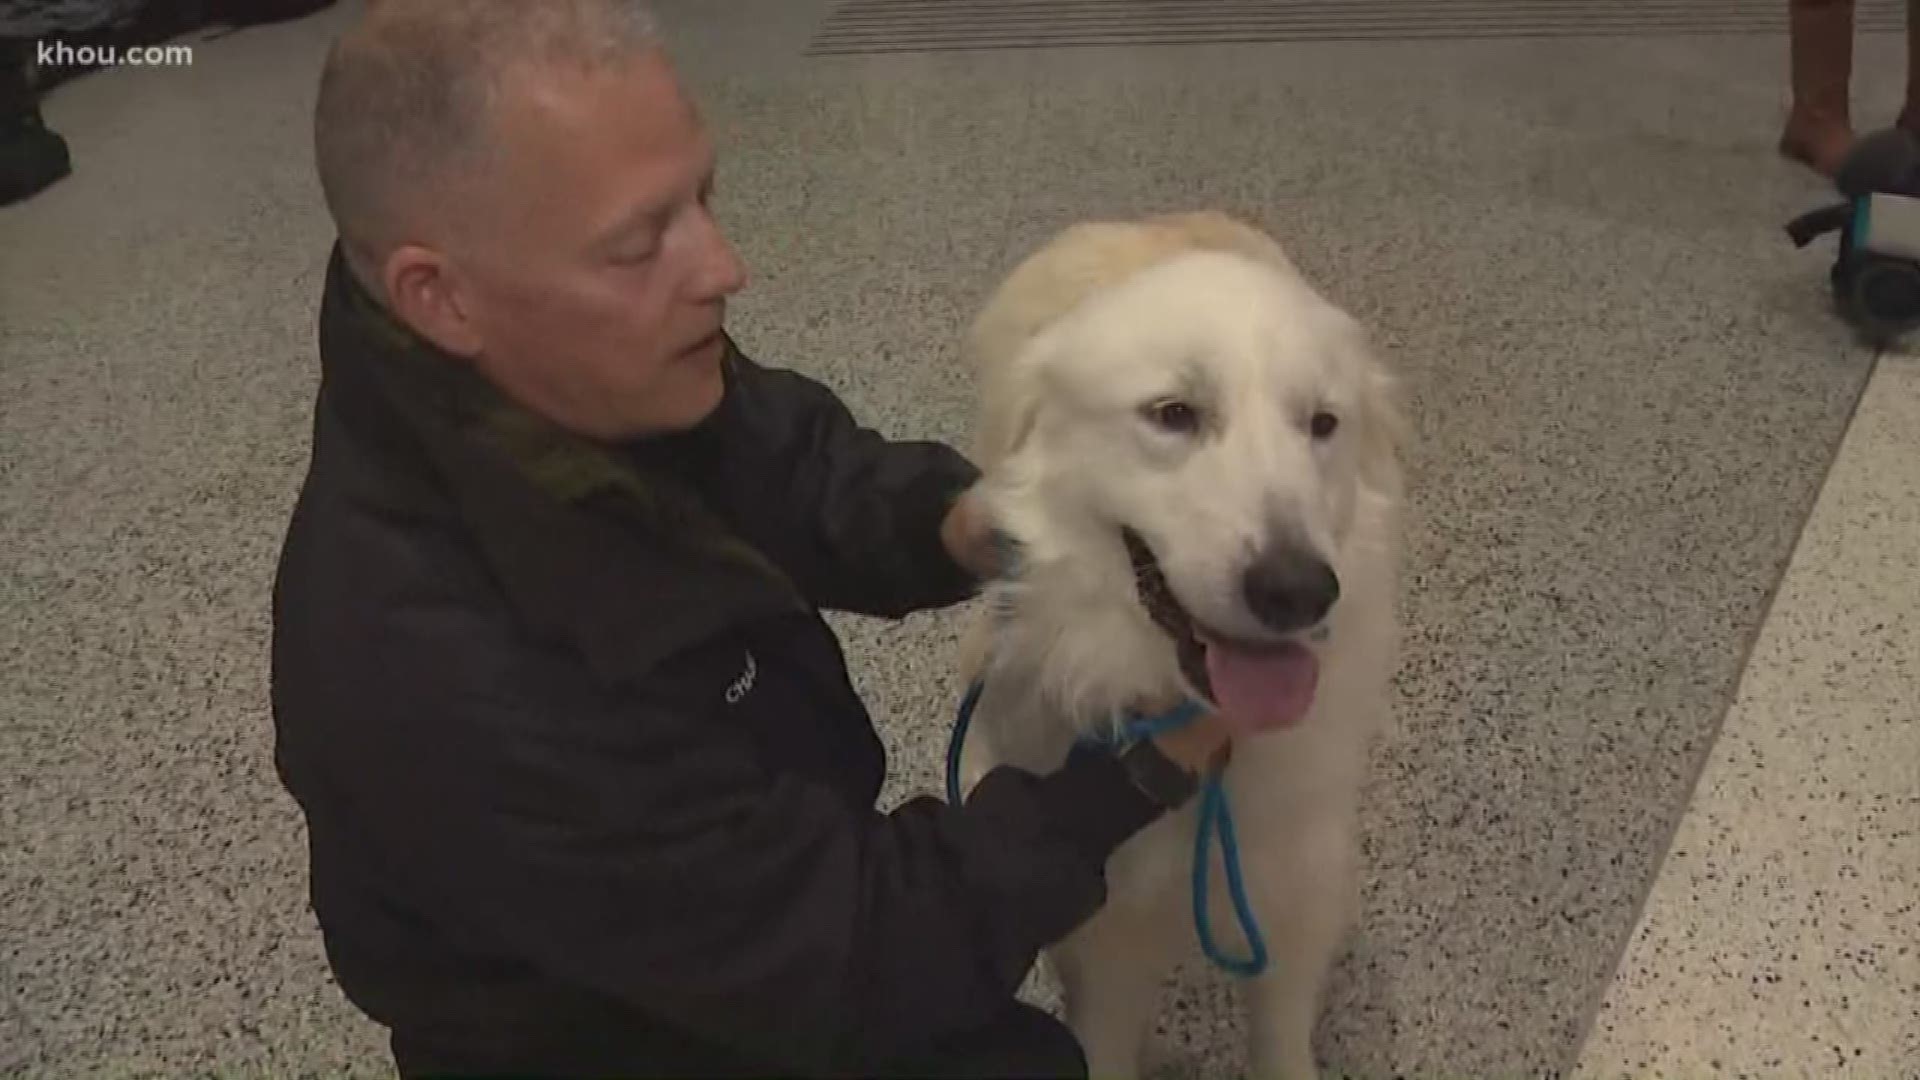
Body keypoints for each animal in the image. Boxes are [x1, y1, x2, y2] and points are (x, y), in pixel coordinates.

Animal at [952, 210, 1405, 1076]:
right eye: (1173, 414)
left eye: (1322, 425)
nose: (1298, 589)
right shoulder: (1109, 936)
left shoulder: (1287, 895)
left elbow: (1282, 1039)